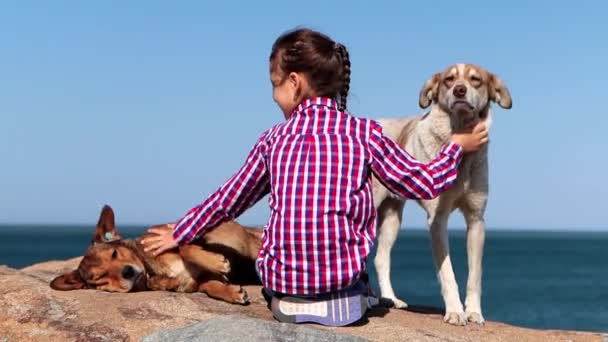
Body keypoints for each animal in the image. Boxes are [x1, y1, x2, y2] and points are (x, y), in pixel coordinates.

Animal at [49, 206, 262, 304]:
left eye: (115, 253)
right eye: (101, 277)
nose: (127, 272)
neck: (153, 271)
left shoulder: (192, 233)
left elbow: (185, 247)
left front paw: (218, 262)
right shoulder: (194, 283)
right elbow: (211, 286)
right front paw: (232, 293)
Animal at [372, 64, 510, 326]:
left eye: (475, 80)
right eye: (449, 79)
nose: (459, 90)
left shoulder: (476, 220)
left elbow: (475, 275)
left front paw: (474, 312)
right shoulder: (437, 220)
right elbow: (447, 273)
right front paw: (455, 311)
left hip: (393, 217)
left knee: (381, 258)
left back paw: (389, 299)